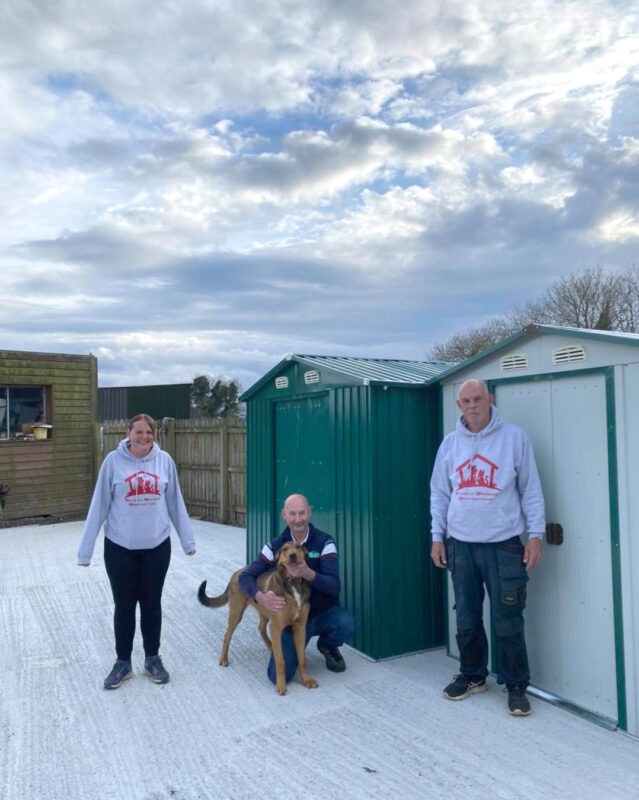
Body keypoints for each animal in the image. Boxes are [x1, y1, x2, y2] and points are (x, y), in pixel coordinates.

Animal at [196, 540, 318, 696]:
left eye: (298, 547)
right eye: (285, 549)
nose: (292, 555)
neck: (293, 581)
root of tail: (237, 573)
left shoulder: (300, 627)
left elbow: (302, 659)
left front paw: (307, 680)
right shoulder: (276, 627)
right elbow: (280, 660)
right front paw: (281, 685)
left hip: (264, 611)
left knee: (260, 628)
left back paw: (270, 646)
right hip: (236, 613)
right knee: (227, 635)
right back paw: (224, 659)